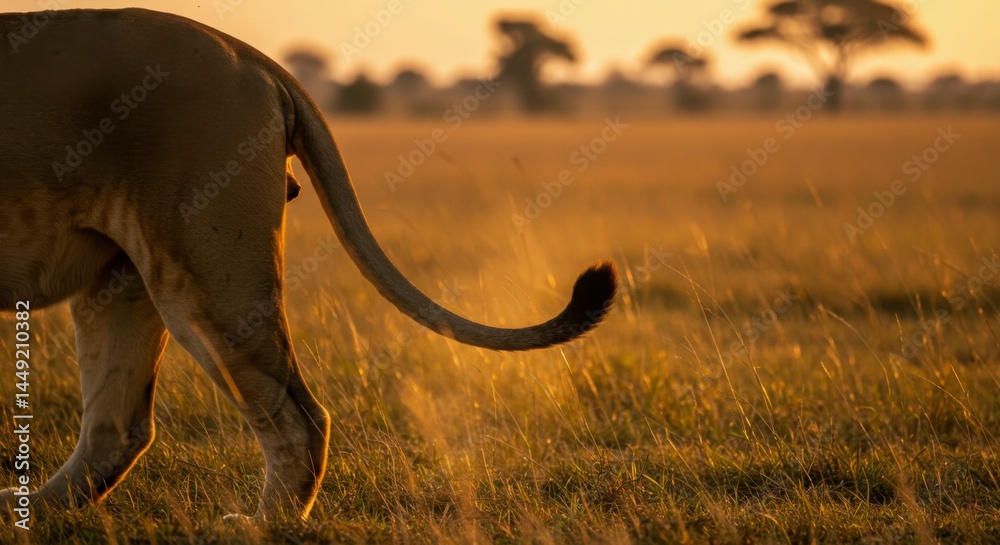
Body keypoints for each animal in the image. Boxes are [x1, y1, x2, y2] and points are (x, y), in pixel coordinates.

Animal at [0, 8, 616, 520]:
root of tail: (249, 54)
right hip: (125, 275)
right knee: (118, 428)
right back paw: (30, 509)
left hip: (207, 271)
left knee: (299, 417)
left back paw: (260, 526)